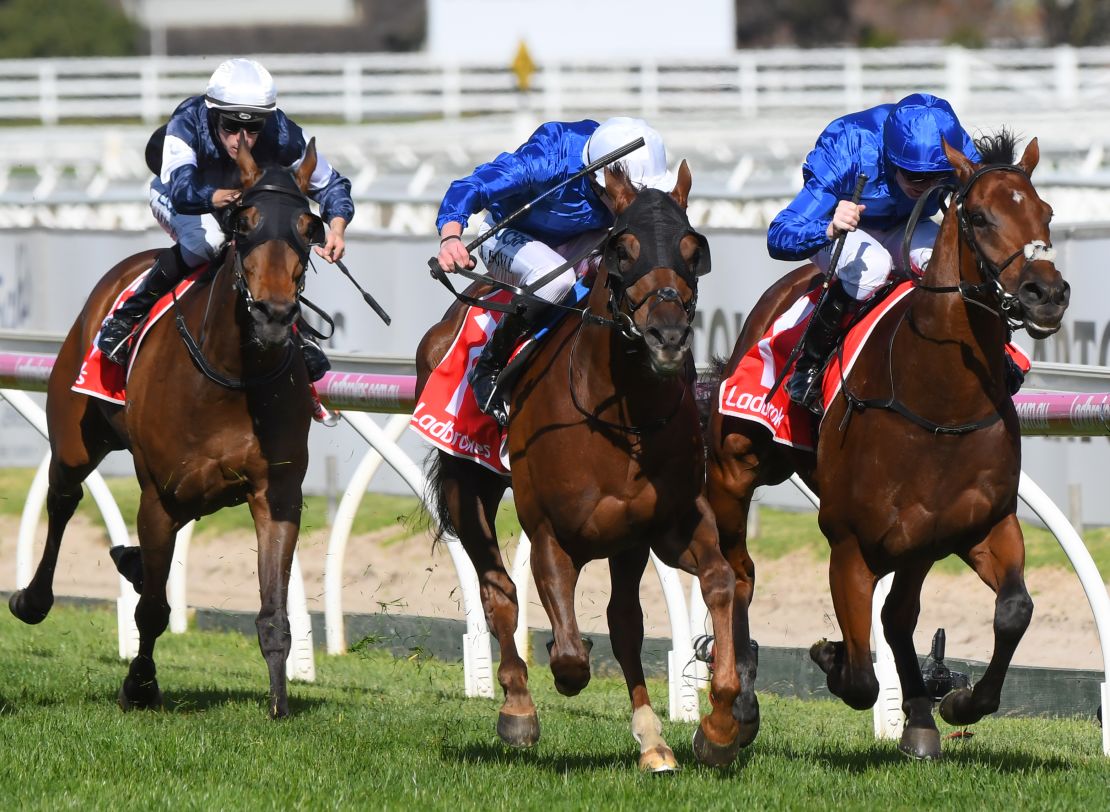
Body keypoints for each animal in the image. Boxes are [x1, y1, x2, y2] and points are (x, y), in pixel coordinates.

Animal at [10, 138, 324, 718]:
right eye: (244, 220)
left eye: (307, 226)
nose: (273, 314)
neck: (231, 375)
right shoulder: (159, 494)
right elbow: (152, 611)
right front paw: (139, 685)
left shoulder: (277, 493)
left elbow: (274, 612)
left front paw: (279, 703)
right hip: (75, 434)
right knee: (63, 496)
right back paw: (33, 598)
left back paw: (128, 561)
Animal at [417, 161, 745, 772]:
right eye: (623, 250)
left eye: (693, 250)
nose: (668, 336)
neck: (618, 415)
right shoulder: (551, 533)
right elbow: (569, 656)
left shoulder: (667, 526)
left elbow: (718, 583)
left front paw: (716, 727)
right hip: (466, 487)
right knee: (498, 591)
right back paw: (517, 708)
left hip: (625, 543)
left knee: (624, 622)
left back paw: (653, 742)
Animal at [705, 133, 1070, 763]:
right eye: (979, 216)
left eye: (1045, 213)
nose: (1046, 293)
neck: (940, 401)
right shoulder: (850, 542)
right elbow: (858, 676)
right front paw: (829, 656)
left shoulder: (981, 523)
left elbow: (1013, 610)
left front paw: (957, 702)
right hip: (737, 467)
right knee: (740, 573)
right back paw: (740, 704)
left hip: (919, 542)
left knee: (899, 616)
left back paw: (921, 717)